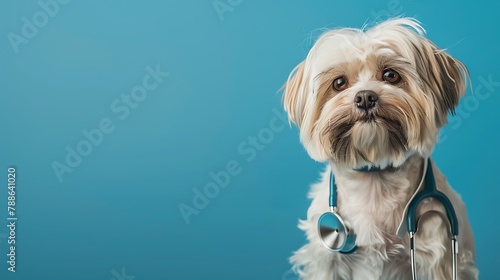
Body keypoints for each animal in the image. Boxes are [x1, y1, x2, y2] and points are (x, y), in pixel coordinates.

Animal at [284, 18, 478, 280]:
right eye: (339, 83)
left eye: (390, 75)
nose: (365, 97)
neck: (375, 180)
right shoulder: (326, 262)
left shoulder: (438, 258)